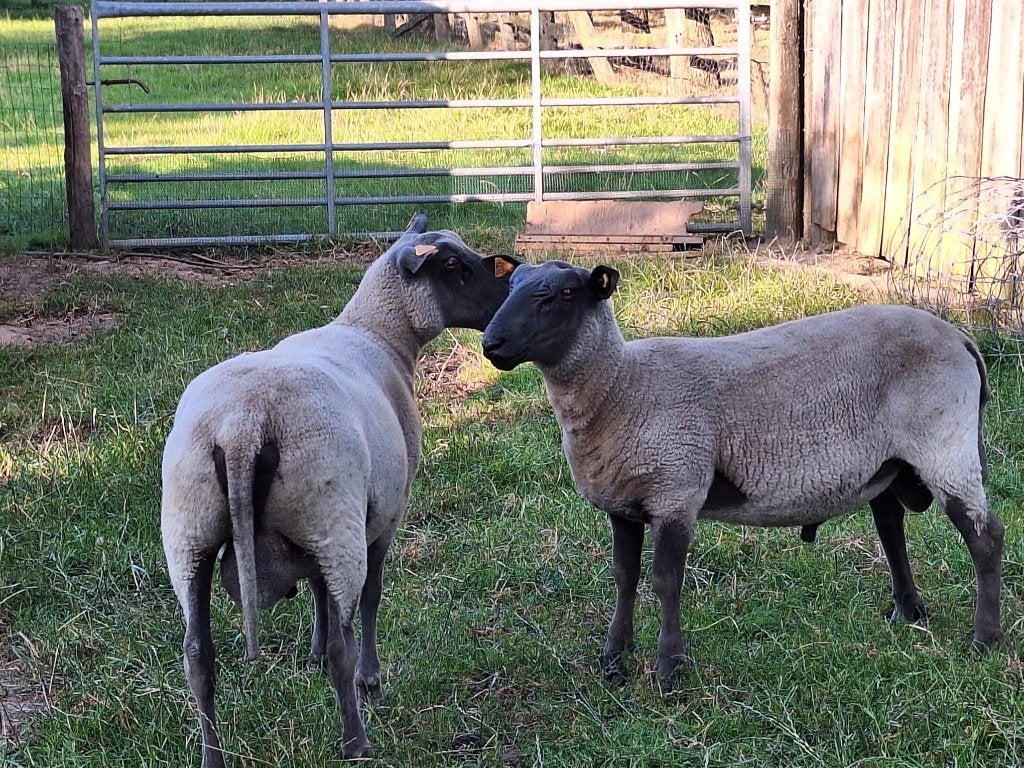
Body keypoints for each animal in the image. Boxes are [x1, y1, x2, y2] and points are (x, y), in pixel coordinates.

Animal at [160, 214, 521, 766]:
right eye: (453, 264)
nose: (505, 301)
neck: (379, 334)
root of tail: (242, 424)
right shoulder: (384, 513)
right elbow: (370, 599)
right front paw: (371, 679)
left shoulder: (312, 535)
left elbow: (314, 589)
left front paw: (309, 651)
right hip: (331, 517)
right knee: (342, 648)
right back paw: (357, 740)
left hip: (192, 530)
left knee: (198, 657)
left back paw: (212, 755)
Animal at [481, 259, 1004, 690]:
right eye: (511, 284)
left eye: (565, 294)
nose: (491, 343)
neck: (623, 386)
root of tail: (959, 337)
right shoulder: (624, 503)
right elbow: (624, 576)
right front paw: (615, 660)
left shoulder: (677, 490)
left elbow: (666, 581)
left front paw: (668, 670)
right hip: (889, 464)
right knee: (892, 529)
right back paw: (908, 613)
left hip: (944, 442)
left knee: (985, 535)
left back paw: (985, 638)